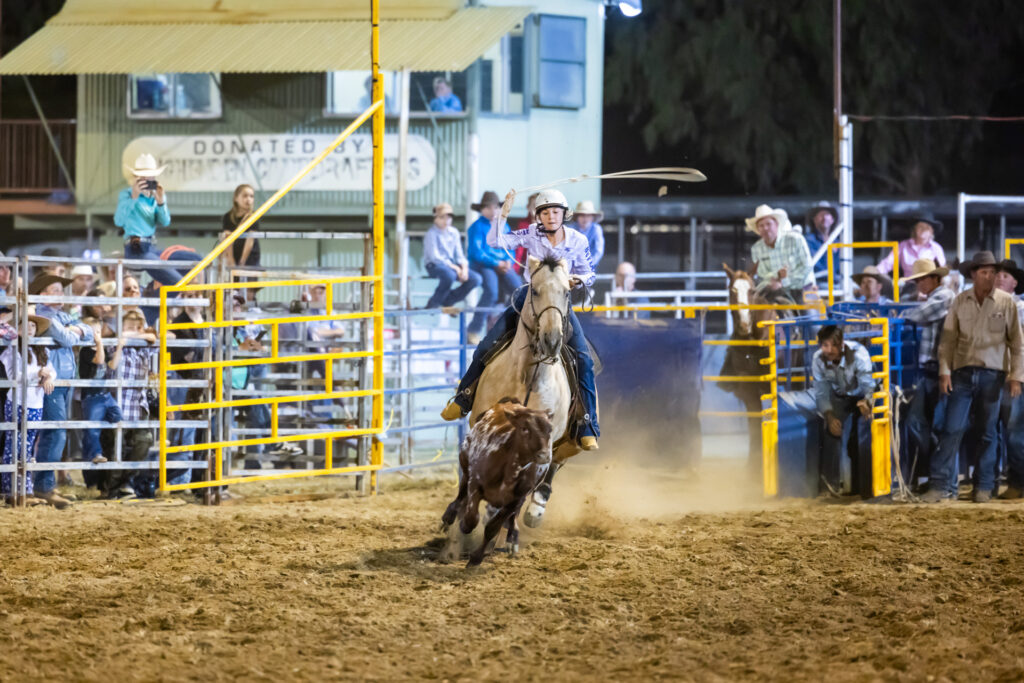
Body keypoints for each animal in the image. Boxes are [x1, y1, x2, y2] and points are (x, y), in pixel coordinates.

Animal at [440, 395, 552, 565]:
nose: (545, 455)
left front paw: (476, 558)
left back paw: (512, 539)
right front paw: (463, 525)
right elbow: (472, 518)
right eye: (525, 428)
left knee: (511, 517)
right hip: (465, 466)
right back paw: (450, 515)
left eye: (550, 430)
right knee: (461, 494)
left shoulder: (515, 501)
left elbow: (492, 527)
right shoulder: (475, 485)